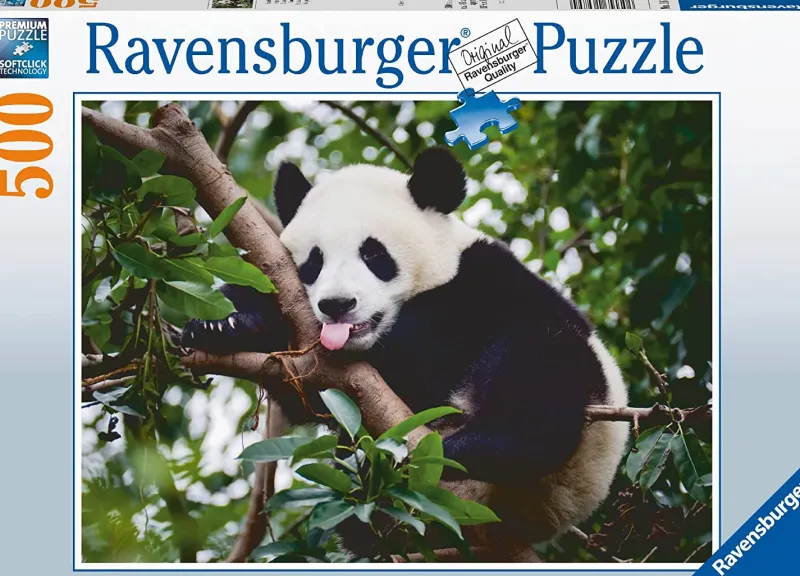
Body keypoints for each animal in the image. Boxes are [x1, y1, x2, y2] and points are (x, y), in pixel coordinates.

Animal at [182, 147, 630, 553]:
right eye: (314, 261)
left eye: (374, 254)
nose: (337, 304)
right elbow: (305, 393)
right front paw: (223, 324)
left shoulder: (483, 285)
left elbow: (422, 354)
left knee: (539, 373)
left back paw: (470, 448)